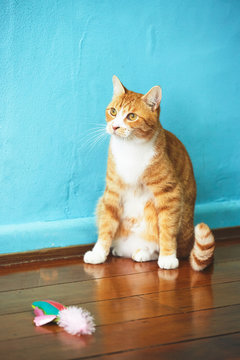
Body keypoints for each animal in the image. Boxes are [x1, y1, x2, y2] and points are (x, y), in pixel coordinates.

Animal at [83, 76, 215, 270]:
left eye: (131, 116)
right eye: (113, 112)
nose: (114, 127)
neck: (129, 148)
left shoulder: (169, 192)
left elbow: (167, 228)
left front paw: (167, 257)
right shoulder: (112, 192)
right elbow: (106, 224)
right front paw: (99, 253)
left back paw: (145, 253)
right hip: (101, 203)